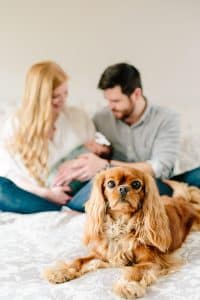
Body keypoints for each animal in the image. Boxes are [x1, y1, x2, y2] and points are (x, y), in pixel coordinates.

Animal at [44, 166, 200, 298]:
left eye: (136, 184)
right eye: (110, 184)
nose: (123, 189)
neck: (121, 224)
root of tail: (180, 201)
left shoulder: (151, 261)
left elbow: (134, 271)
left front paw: (128, 286)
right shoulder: (102, 255)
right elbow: (79, 260)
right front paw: (61, 272)